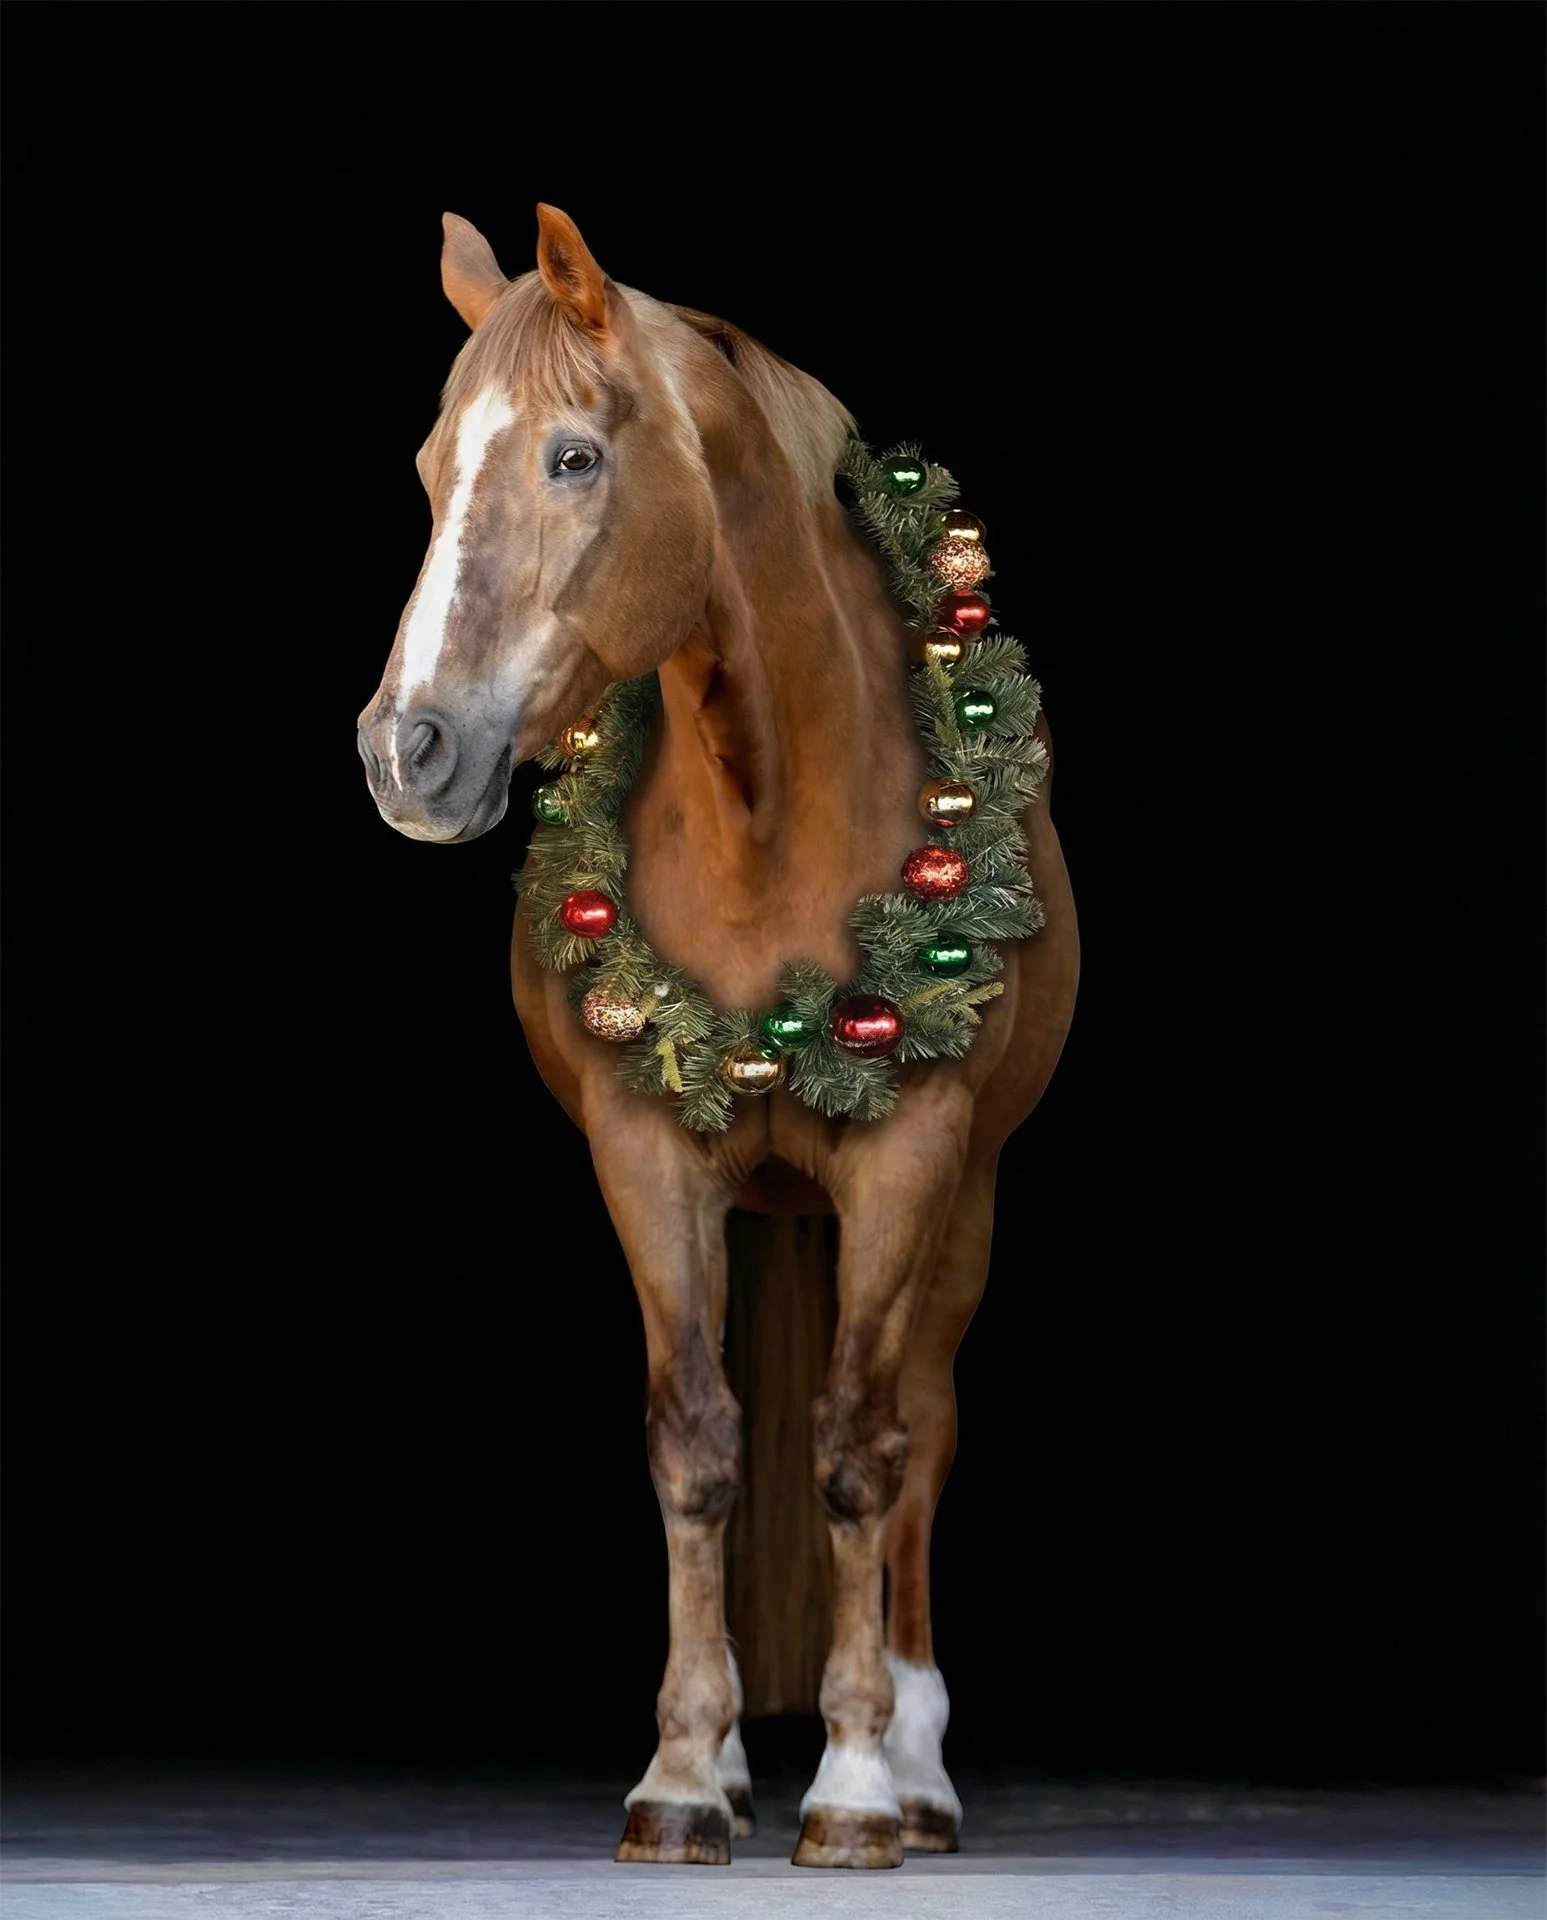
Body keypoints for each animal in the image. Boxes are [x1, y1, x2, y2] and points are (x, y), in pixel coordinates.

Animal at [356, 204, 1079, 1870]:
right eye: (429, 467)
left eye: (572, 457)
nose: (404, 750)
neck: (766, 809)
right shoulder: (647, 1154)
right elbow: (696, 1447)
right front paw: (686, 1775)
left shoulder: (908, 1157)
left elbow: (859, 1454)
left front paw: (857, 1785)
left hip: (961, 1208)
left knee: (921, 1435)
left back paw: (917, 1766)